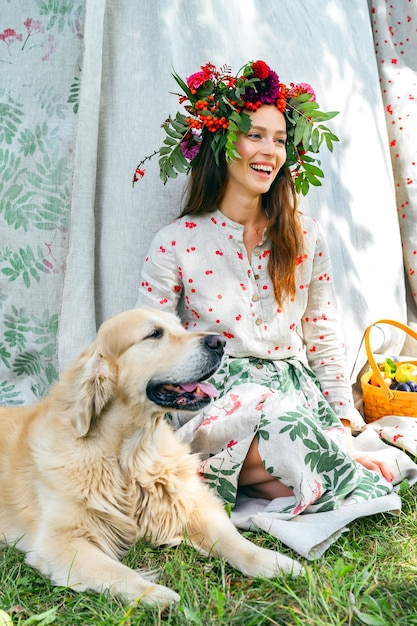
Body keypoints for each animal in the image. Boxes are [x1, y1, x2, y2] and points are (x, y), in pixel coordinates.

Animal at [0, 308, 302, 604]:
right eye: (154, 333)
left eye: (180, 327)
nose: (220, 342)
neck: (131, 454)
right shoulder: (61, 541)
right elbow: (118, 572)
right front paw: (156, 593)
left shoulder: (195, 505)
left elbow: (234, 542)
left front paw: (275, 563)